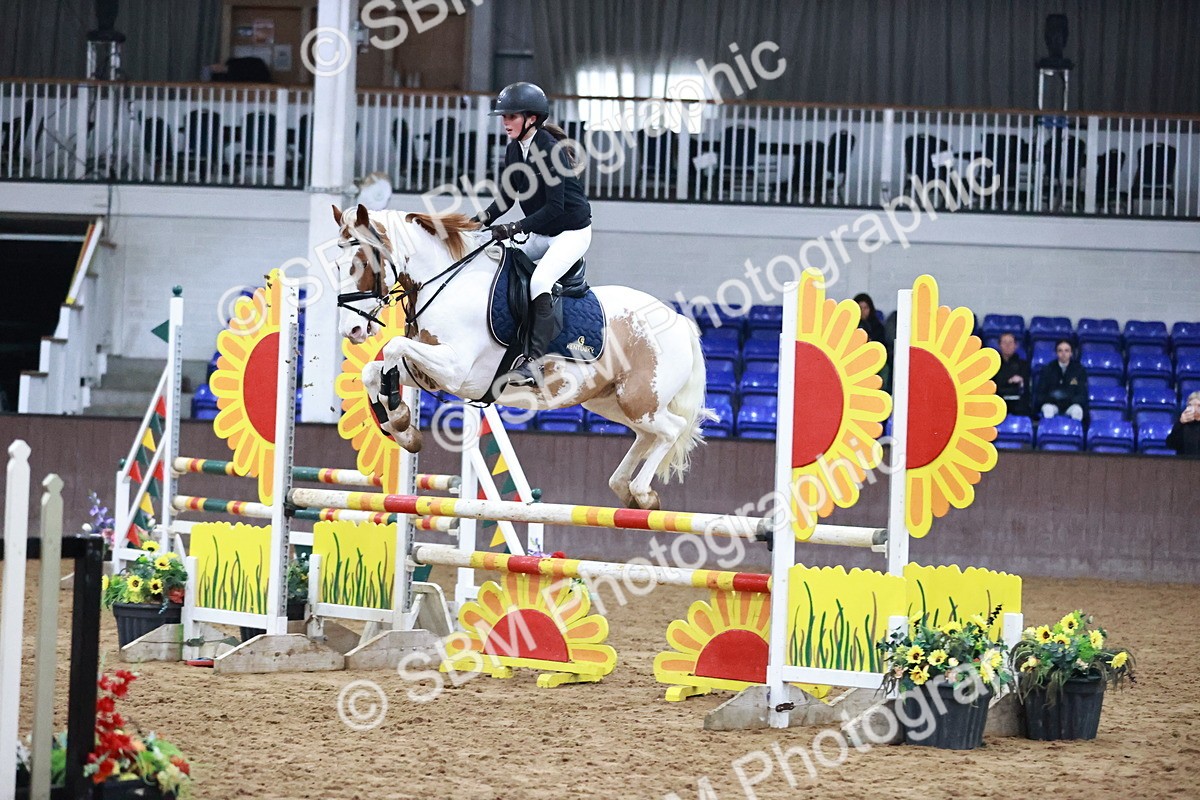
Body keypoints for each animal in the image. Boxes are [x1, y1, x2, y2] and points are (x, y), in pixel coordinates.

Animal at [332, 204, 713, 510]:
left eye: (362, 263)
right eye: (336, 265)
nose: (352, 330)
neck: (447, 283)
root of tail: (680, 322)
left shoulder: (456, 369)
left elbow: (393, 348)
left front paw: (398, 419)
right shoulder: (429, 369)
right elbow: (372, 370)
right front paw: (402, 427)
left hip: (640, 399)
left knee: (671, 430)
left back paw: (642, 493)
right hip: (610, 401)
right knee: (646, 436)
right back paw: (626, 489)